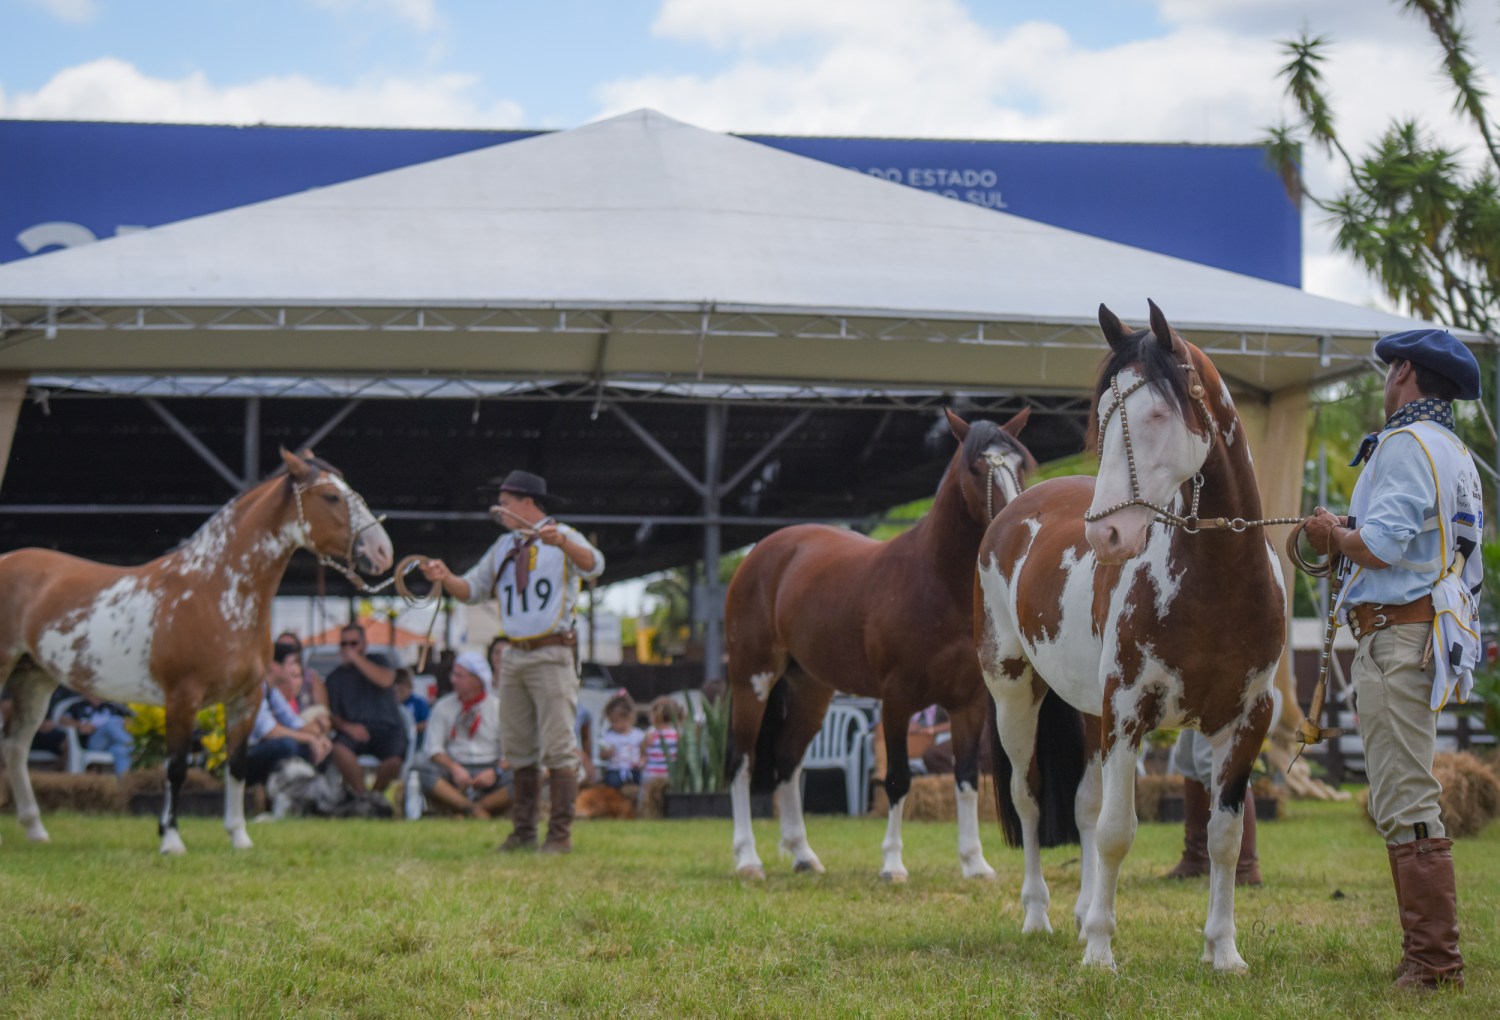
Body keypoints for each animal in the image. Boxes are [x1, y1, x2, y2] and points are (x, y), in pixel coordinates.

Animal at [0, 450, 393, 858]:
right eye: (331, 497)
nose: (382, 552)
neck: (216, 591)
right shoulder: (182, 698)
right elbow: (176, 768)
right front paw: (171, 838)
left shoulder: (246, 698)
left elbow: (236, 765)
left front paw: (238, 836)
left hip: (35, 678)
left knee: (15, 748)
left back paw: (35, 829)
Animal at [723, 411, 1032, 882]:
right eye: (976, 467)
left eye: (1020, 464)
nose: (1012, 519)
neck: (936, 583)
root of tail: (762, 553)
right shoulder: (897, 698)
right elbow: (898, 779)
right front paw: (892, 864)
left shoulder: (969, 703)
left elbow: (965, 779)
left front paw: (975, 863)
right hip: (752, 680)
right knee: (742, 762)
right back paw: (747, 860)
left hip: (812, 689)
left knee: (787, 760)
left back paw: (803, 855)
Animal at [978, 301, 1284, 972]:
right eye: (1101, 416)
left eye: (1158, 413)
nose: (1107, 536)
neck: (1216, 588)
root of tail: (1010, 514)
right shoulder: (1127, 710)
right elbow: (1119, 833)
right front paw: (1100, 951)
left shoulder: (1247, 719)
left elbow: (1224, 838)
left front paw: (1224, 950)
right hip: (1016, 695)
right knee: (1030, 798)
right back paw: (1039, 915)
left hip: (1087, 710)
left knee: (1085, 805)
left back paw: (1077, 912)